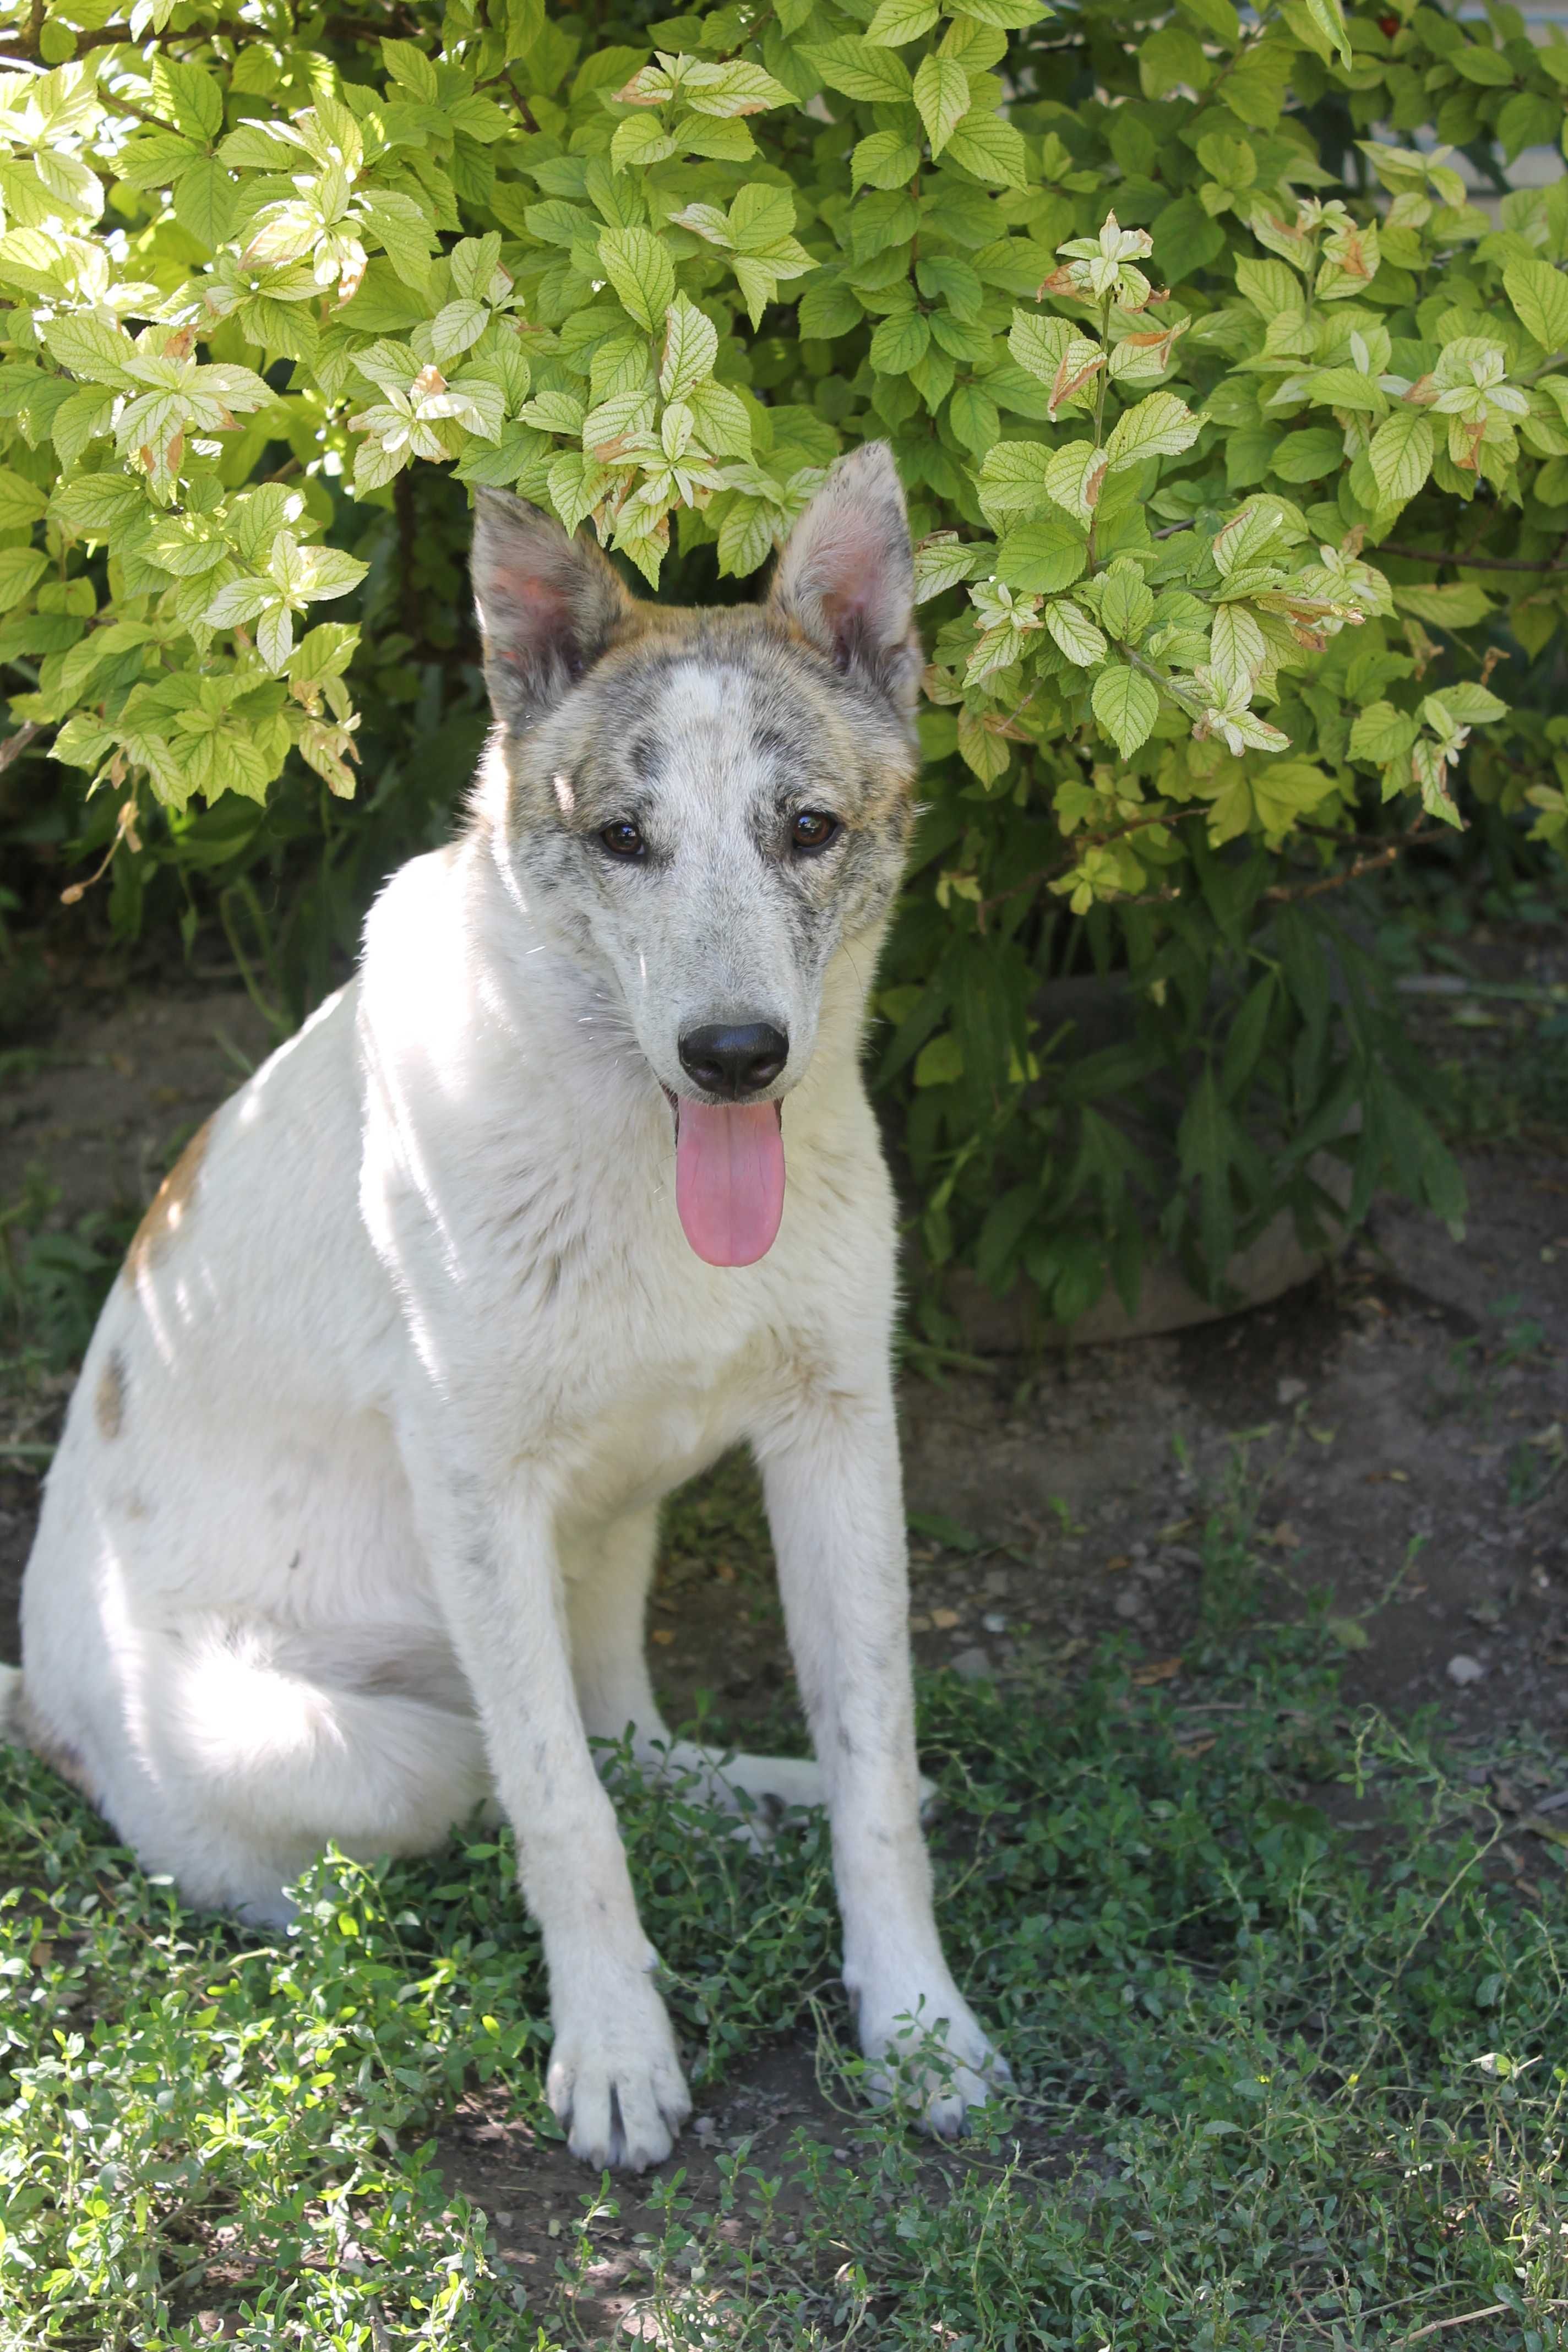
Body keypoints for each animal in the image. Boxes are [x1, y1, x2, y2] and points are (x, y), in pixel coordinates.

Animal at [3, 442, 1006, 2164]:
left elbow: (873, 1760)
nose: (734, 1058)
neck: (639, 1161)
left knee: (633, 1736)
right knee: (480, 1784)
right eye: (620, 839)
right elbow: (558, 1807)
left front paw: (918, 2024)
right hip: (363, 1740)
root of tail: (47, 1712)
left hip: (613, 1524)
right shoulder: (477, 1488)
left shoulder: (833, 1430)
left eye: (808, 828)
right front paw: (613, 2047)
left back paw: (747, 1793)